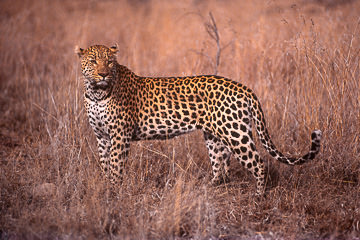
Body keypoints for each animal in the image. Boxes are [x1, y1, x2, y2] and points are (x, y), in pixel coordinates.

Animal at [74, 44, 322, 196]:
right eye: (93, 61)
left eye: (110, 62)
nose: (103, 74)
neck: (96, 93)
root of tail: (244, 88)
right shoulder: (102, 137)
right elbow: (105, 163)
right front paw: (106, 186)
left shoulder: (120, 135)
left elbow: (116, 165)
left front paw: (115, 191)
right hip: (215, 135)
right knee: (221, 167)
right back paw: (207, 188)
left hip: (236, 134)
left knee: (258, 163)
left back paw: (258, 197)